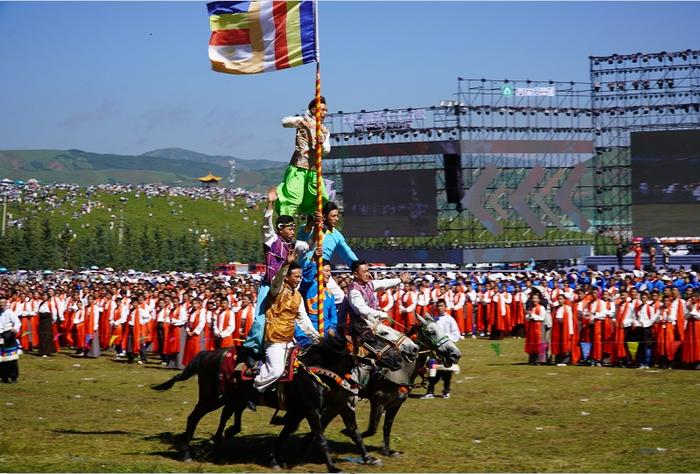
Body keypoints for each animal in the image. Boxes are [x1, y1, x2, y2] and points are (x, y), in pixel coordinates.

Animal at [153, 332, 404, 472]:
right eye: (372, 340)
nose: (399, 359)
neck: (322, 370)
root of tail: (206, 354)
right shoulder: (311, 409)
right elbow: (320, 437)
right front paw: (332, 467)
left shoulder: (334, 407)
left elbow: (354, 434)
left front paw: (369, 458)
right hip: (212, 397)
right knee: (193, 417)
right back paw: (187, 453)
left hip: (231, 398)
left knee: (224, 417)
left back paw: (217, 444)